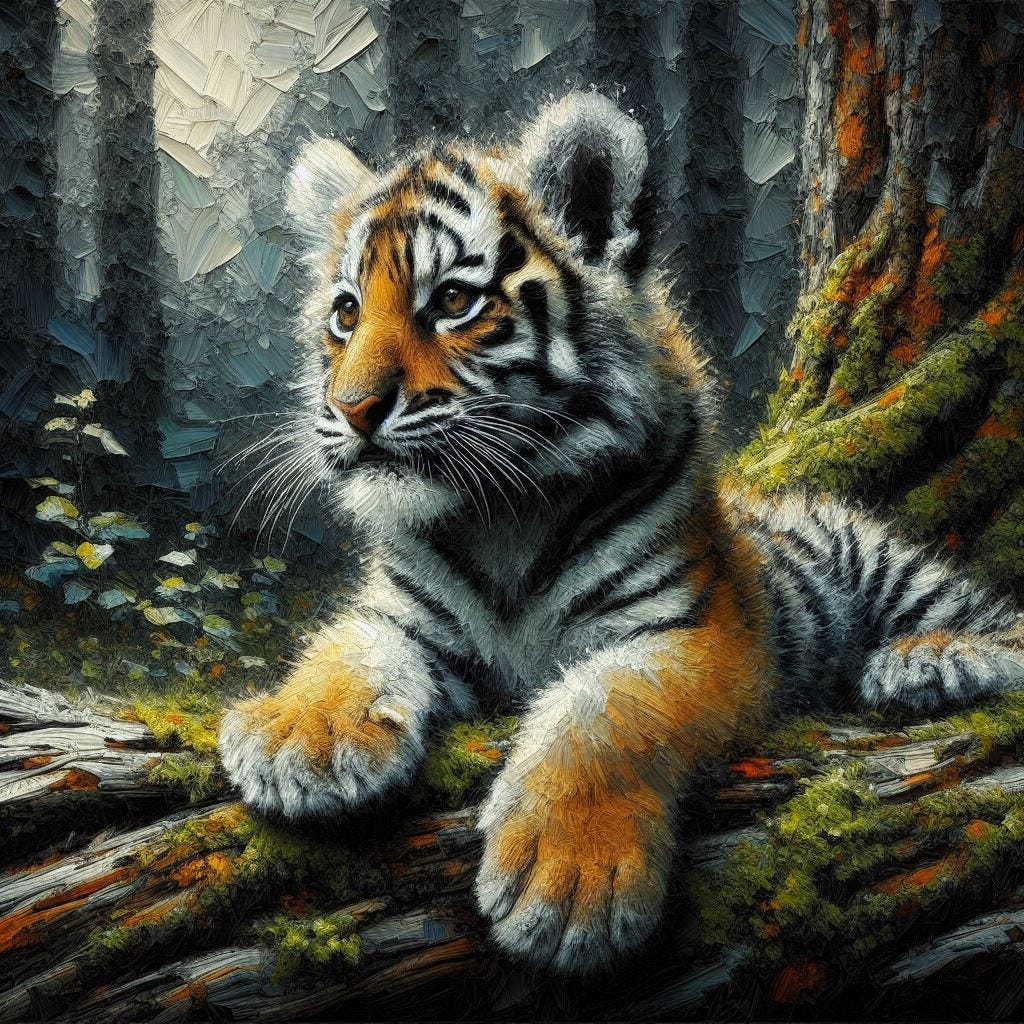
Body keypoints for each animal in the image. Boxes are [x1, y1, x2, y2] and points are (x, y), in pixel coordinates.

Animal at [218, 91, 1024, 975]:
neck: (502, 515)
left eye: (455, 302)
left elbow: (604, 710)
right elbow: (341, 648)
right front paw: (301, 742)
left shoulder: (693, 633)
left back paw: (928, 662)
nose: (352, 409)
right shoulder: (399, 615)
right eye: (346, 313)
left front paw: (568, 886)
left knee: (997, 619)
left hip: (887, 564)